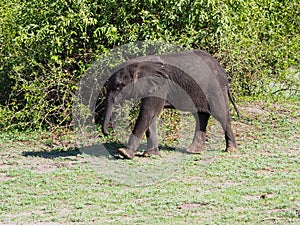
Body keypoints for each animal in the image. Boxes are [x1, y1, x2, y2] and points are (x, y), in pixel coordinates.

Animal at [102, 49, 238, 158]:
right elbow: (151, 116)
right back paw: (194, 151)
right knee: (200, 115)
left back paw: (231, 150)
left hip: (215, 88)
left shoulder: (160, 86)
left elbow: (148, 113)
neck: (140, 64)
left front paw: (124, 154)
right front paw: (150, 155)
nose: (107, 132)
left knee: (220, 114)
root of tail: (221, 69)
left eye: (119, 86)